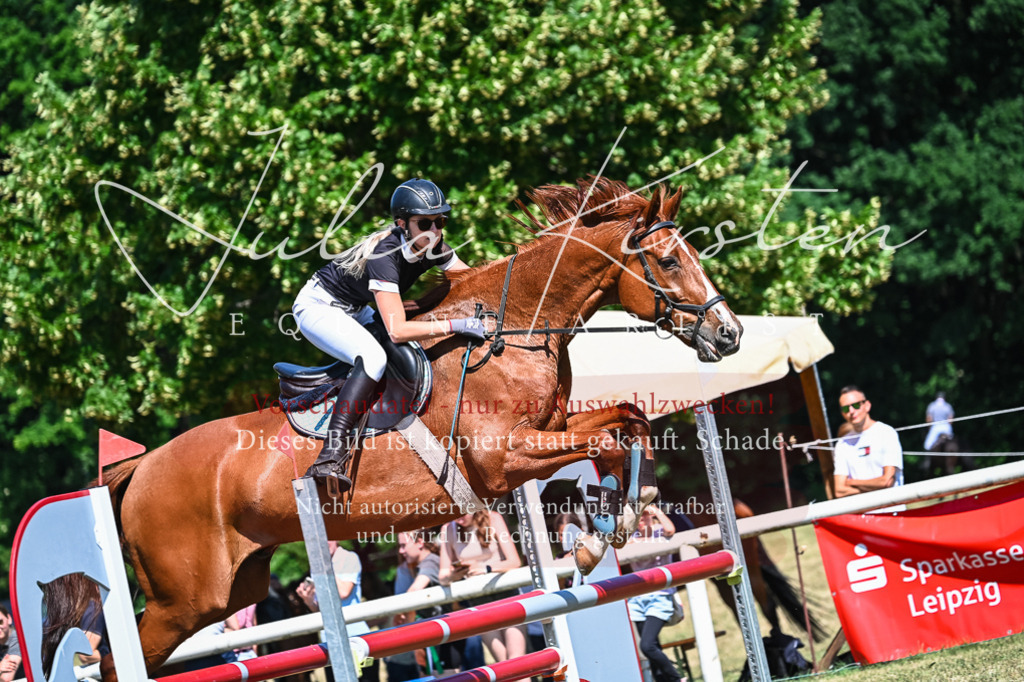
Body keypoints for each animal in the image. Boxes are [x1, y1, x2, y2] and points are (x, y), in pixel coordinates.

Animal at [71, 177, 743, 680]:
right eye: (667, 261)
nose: (729, 334)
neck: (515, 329)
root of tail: (140, 467)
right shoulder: (502, 461)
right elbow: (606, 437)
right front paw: (600, 532)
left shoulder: (549, 429)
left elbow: (628, 420)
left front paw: (621, 515)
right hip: (184, 599)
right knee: (116, 660)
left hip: (231, 590)